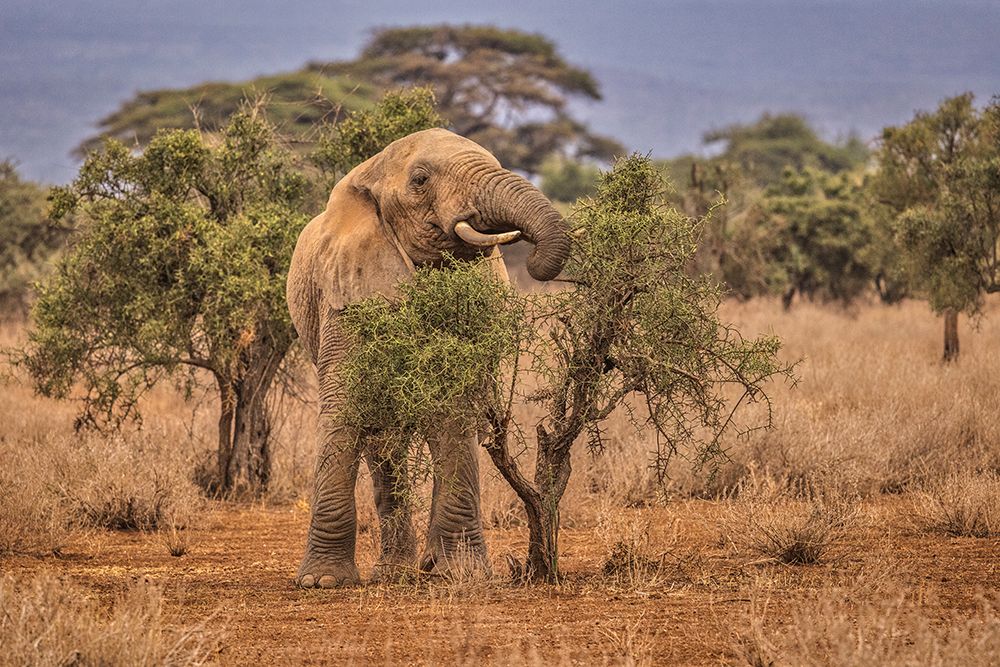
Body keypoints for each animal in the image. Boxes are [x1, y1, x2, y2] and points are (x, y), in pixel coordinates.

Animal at [286, 128, 571, 587]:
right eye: (420, 180)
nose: (531, 258)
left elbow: (452, 410)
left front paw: (460, 574)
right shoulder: (344, 295)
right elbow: (345, 400)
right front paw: (322, 583)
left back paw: (401, 572)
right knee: (381, 440)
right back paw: (393, 573)